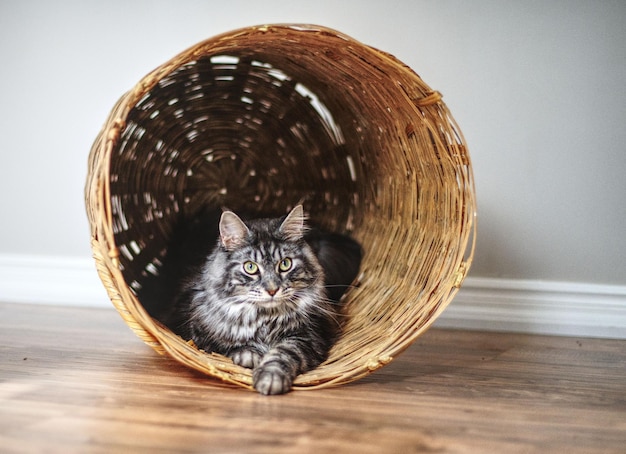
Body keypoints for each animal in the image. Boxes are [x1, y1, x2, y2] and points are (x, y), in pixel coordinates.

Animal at [144, 206, 360, 394]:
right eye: (250, 267)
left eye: (285, 264)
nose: (272, 290)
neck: (264, 318)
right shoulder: (193, 329)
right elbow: (225, 345)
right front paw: (249, 355)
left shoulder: (310, 335)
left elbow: (283, 353)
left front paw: (270, 379)